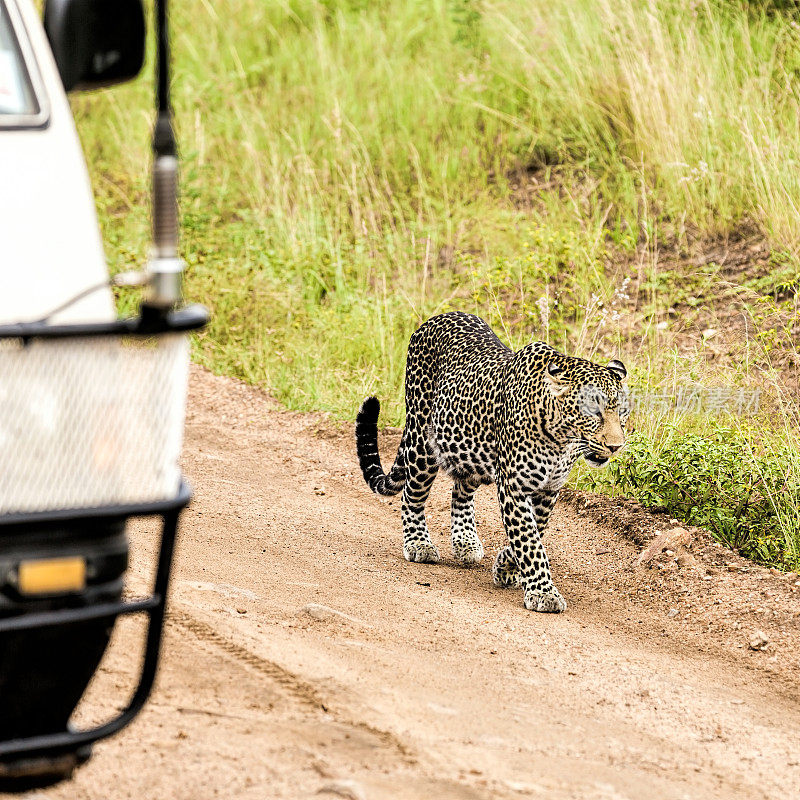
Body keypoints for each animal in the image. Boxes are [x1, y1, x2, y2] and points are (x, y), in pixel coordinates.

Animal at [356, 310, 632, 612]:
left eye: (623, 412)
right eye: (593, 410)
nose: (616, 446)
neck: (561, 439)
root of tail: (436, 317)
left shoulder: (549, 490)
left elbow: (534, 532)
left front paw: (506, 568)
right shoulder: (514, 486)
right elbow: (530, 541)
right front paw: (543, 593)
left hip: (470, 452)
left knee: (460, 492)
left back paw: (465, 542)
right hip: (423, 443)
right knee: (411, 495)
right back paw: (419, 544)